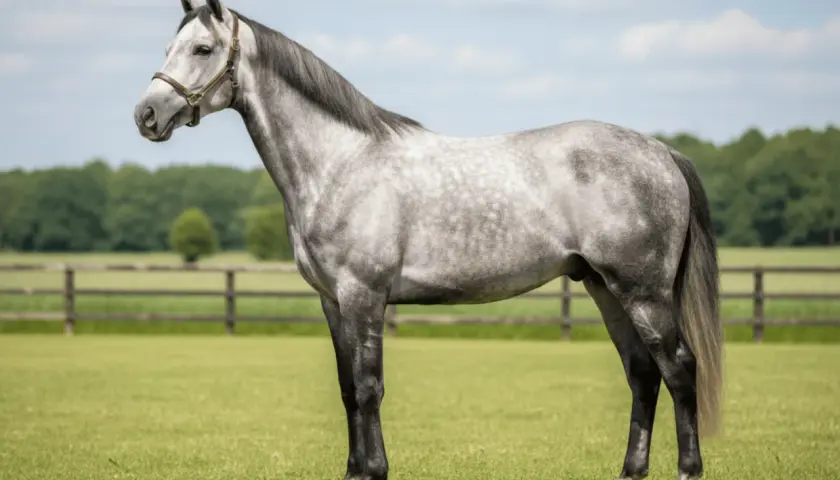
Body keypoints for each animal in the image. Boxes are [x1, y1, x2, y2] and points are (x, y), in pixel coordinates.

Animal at [133, 1, 724, 479]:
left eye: (203, 48)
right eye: (169, 48)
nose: (146, 115)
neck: (340, 162)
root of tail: (660, 150)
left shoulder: (364, 295)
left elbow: (369, 387)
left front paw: (375, 470)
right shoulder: (332, 301)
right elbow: (347, 390)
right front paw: (355, 470)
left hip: (643, 293)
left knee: (679, 368)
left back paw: (688, 469)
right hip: (604, 288)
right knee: (643, 375)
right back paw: (631, 470)